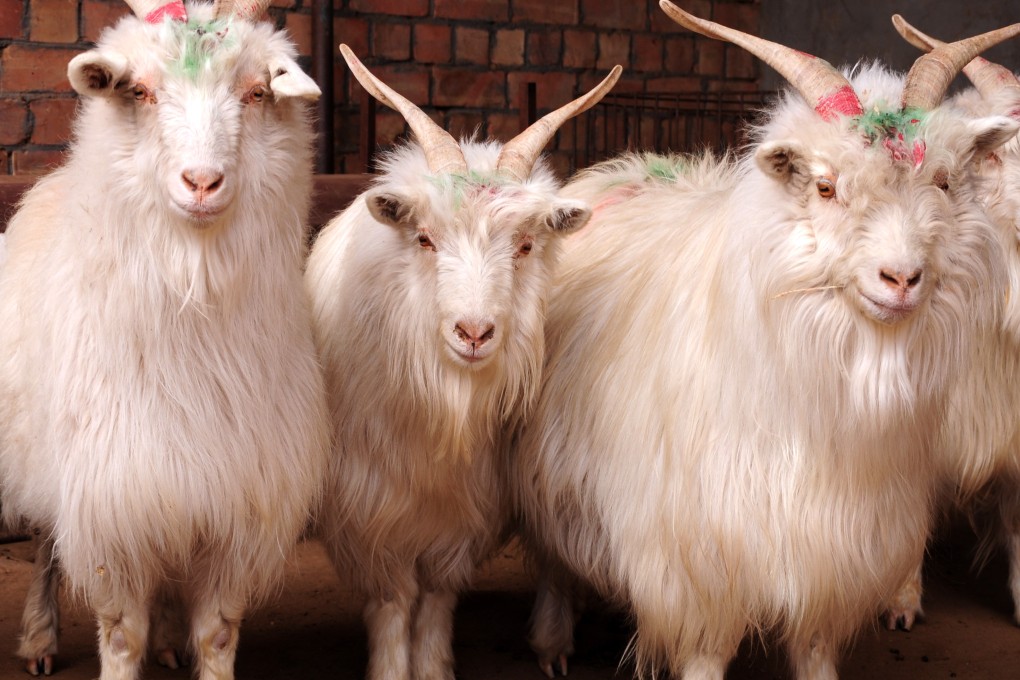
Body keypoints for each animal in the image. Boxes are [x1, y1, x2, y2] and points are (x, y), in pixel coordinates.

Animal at [0, 1, 331, 678]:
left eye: (256, 92)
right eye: (140, 92)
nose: (201, 182)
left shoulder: (233, 506)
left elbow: (218, 634)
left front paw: (188, 642)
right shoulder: (110, 505)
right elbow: (123, 634)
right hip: (43, 462)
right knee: (45, 546)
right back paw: (40, 639)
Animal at [304, 46, 620, 680]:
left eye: (525, 245)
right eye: (424, 238)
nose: (473, 333)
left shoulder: (465, 512)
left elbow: (436, 600)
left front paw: (433, 667)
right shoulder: (370, 514)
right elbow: (395, 601)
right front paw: (392, 669)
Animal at [510, 2, 1020, 679]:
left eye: (941, 182)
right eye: (825, 187)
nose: (902, 279)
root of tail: (623, 168)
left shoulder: (829, 560)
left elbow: (815, 651)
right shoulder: (699, 569)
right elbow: (702, 654)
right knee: (551, 556)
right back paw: (552, 642)